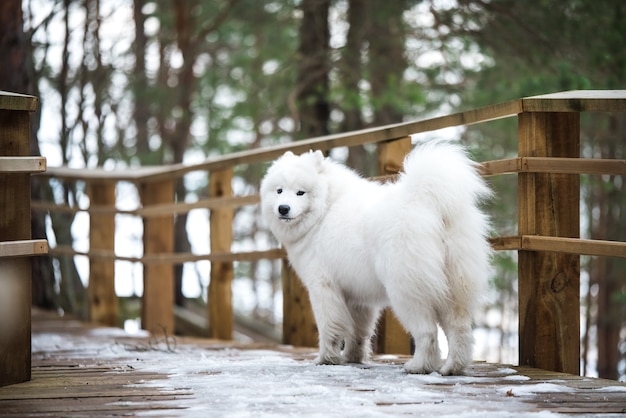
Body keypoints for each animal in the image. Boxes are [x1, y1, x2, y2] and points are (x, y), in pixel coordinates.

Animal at [260, 141, 492, 376]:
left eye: (300, 193)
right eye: (279, 190)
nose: (283, 208)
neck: (325, 211)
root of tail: (426, 202)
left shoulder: (323, 288)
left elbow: (330, 327)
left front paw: (326, 358)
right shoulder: (357, 297)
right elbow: (358, 332)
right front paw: (352, 357)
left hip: (406, 290)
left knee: (427, 332)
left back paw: (419, 366)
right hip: (455, 289)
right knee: (460, 330)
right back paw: (452, 368)